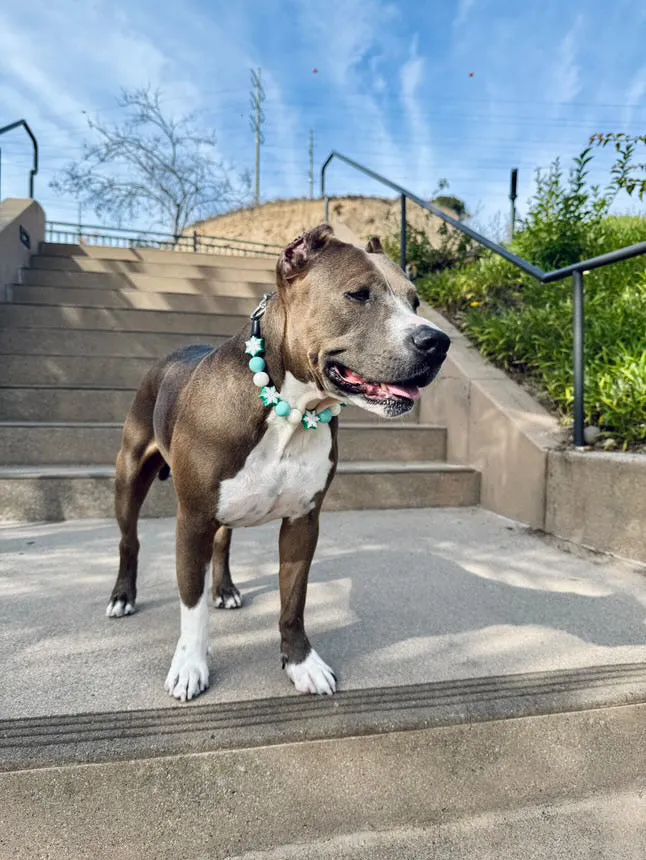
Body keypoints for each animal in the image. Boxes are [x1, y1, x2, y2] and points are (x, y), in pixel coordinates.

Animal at [106, 227, 450, 700]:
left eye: (415, 302)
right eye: (358, 294)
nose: (438, 342)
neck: (290, 408)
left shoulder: (303, 522)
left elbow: (293, 601)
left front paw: (301, 663)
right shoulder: (192, 519)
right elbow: (191, 606)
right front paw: (190, 665)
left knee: (223, 541)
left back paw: (226, 588)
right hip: (130, 474)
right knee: (130, 539)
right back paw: (123, 595)